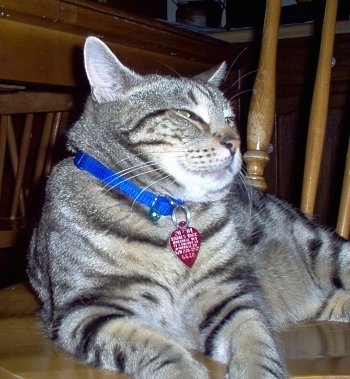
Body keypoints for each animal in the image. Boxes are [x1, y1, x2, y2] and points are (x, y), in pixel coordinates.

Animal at [28, 36, 350, 379]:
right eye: (188, 115)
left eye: (230, 119)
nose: (237, 143)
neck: (169, 211)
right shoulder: (87, 309)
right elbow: (154, 346)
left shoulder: (226, 294)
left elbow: (255, 340)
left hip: (323, 248)